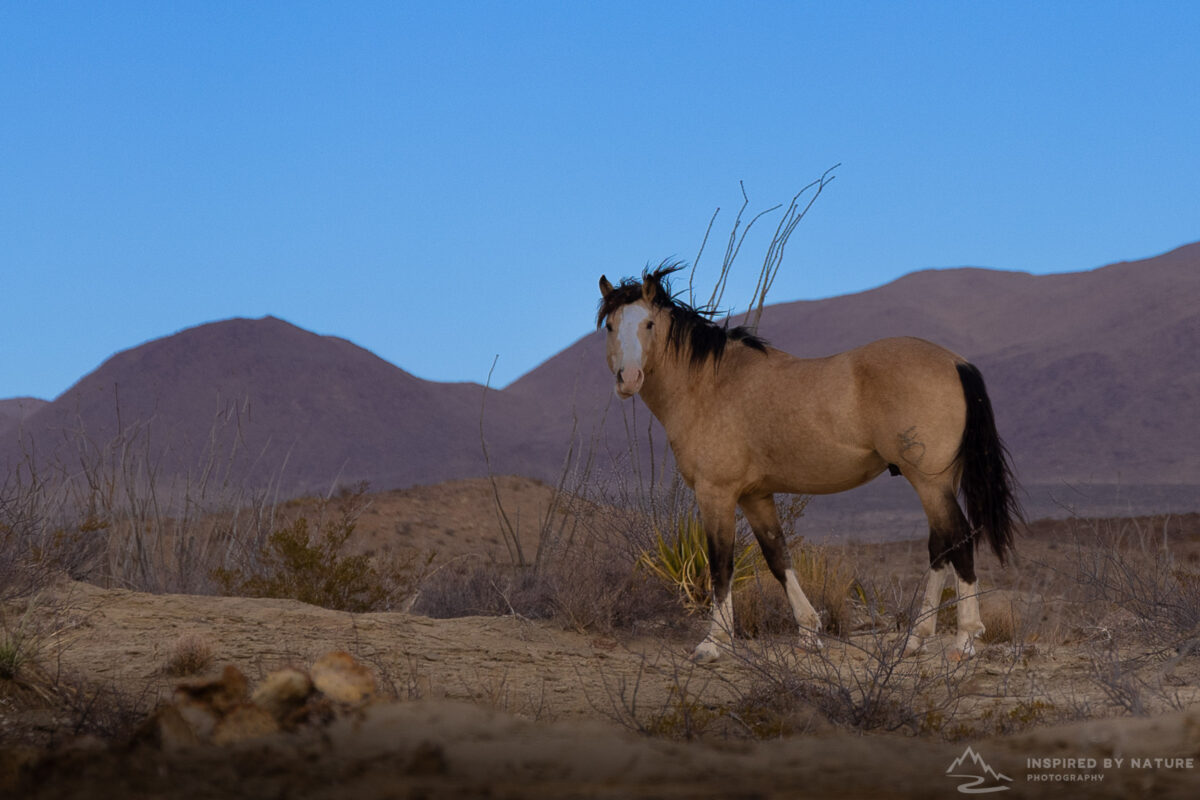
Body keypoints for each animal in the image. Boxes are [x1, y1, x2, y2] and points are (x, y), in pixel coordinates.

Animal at [597, 264, 1020, 663]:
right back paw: (915, 640)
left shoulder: (715, 494)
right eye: (611, 326)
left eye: (649, 324)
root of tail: (956, 363)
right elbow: (777, 557)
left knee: (960, 540)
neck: (711, 385)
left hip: (930, 482)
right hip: (940, 483)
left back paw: (964, 640)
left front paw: (712, 643)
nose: (628, 379)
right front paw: (808, 634)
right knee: (940, 547)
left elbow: (721, 565)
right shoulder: (755, 496)